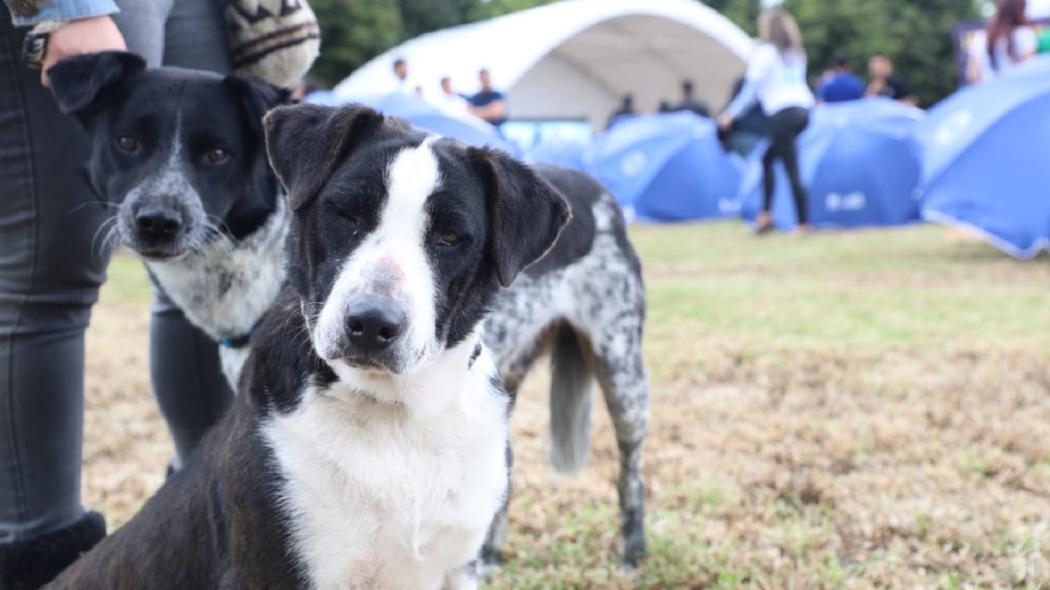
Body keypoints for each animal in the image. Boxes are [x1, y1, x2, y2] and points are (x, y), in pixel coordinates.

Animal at [51, 52, 646, 566]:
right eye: (128, 143)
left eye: (216, 153)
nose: (156, 220)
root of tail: (597, 188)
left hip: (623, 371)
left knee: (628, 470)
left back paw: (631, 552)